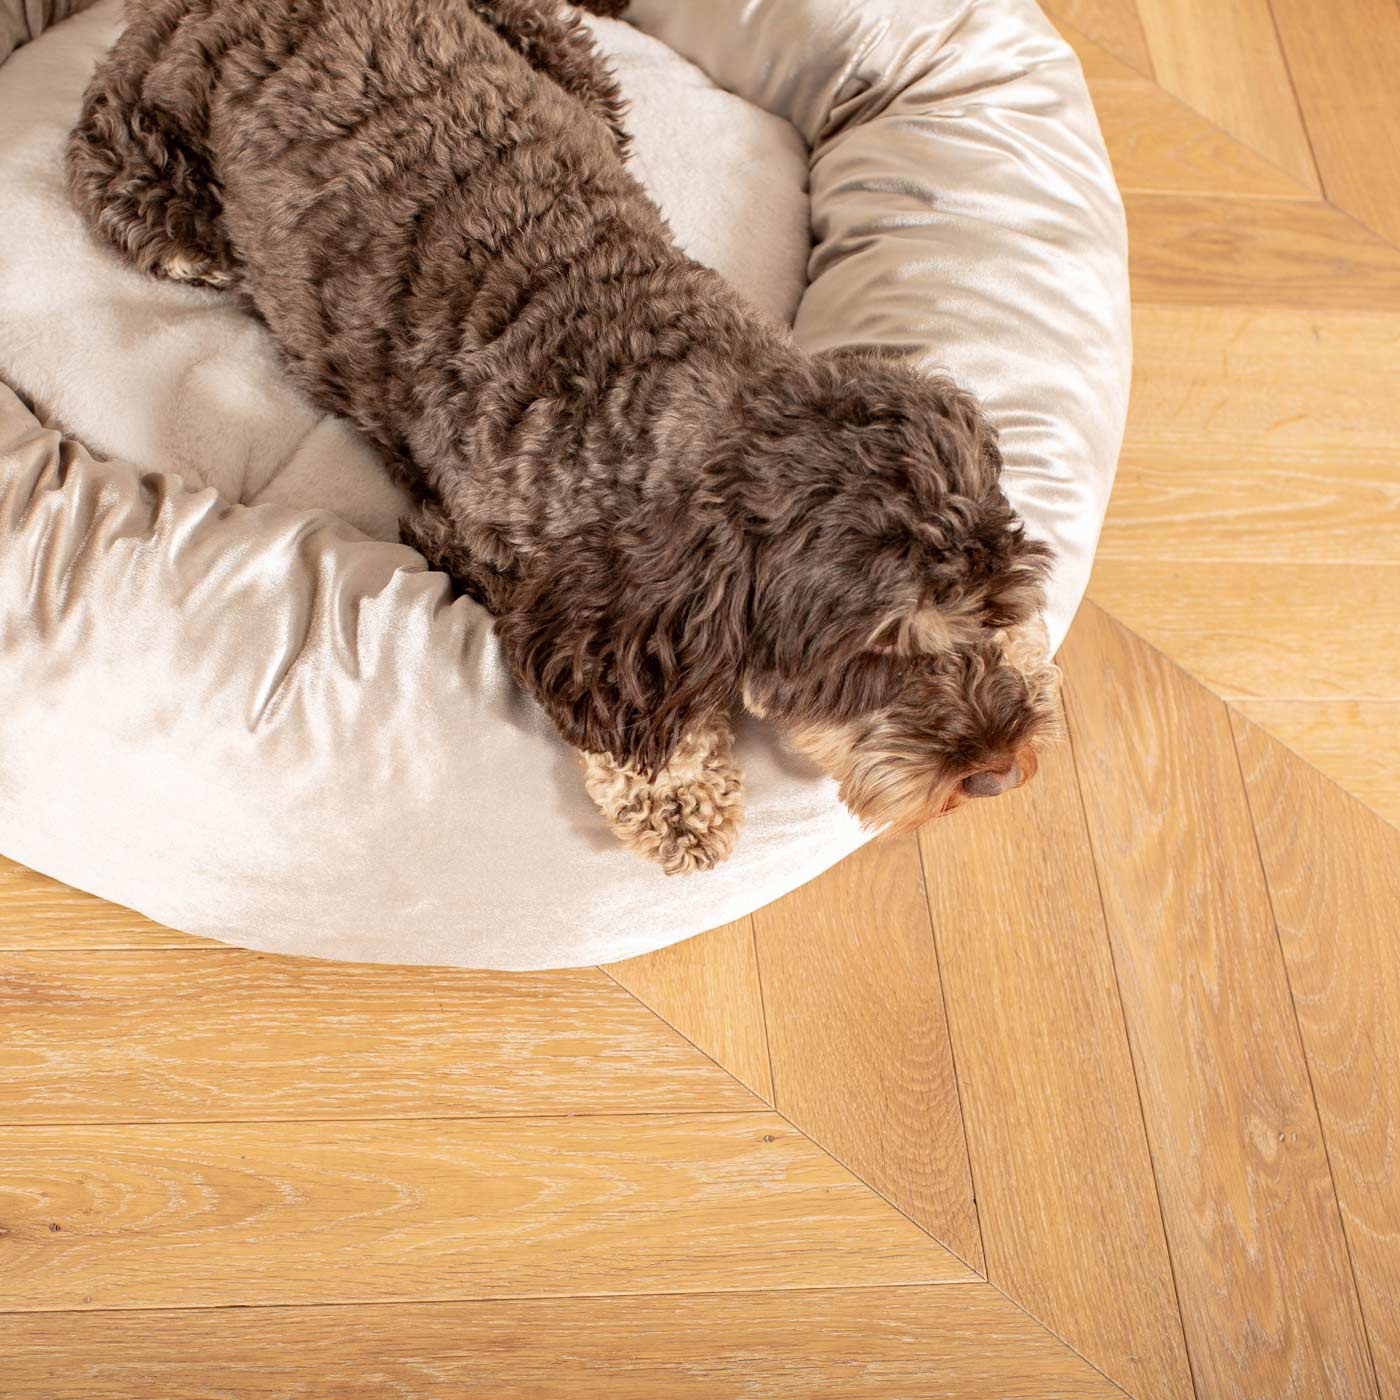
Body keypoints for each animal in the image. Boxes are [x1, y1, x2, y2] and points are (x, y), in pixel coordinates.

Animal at [68, 0, 1058, 868]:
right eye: (879, 647)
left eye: (1000, 603)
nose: (1000, 773)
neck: (658, 370)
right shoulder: (487, 552)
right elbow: (621, 701)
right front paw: (676, 797)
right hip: (145, 156)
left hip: (563, 52)